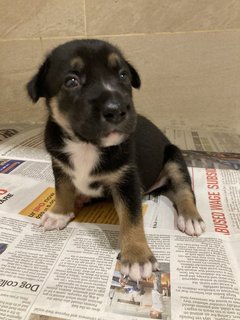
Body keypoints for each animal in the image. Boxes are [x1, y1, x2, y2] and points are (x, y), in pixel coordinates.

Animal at [27, 39, 205, 280]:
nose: (117, 110)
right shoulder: (60, 165)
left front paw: (137, 257)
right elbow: (62, 189)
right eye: (71, 81)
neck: (86, 145)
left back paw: (191, 218)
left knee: (184, 190)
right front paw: (59, 213)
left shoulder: (126, 180)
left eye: (123, 76)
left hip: (174, 157)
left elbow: (132, 219)